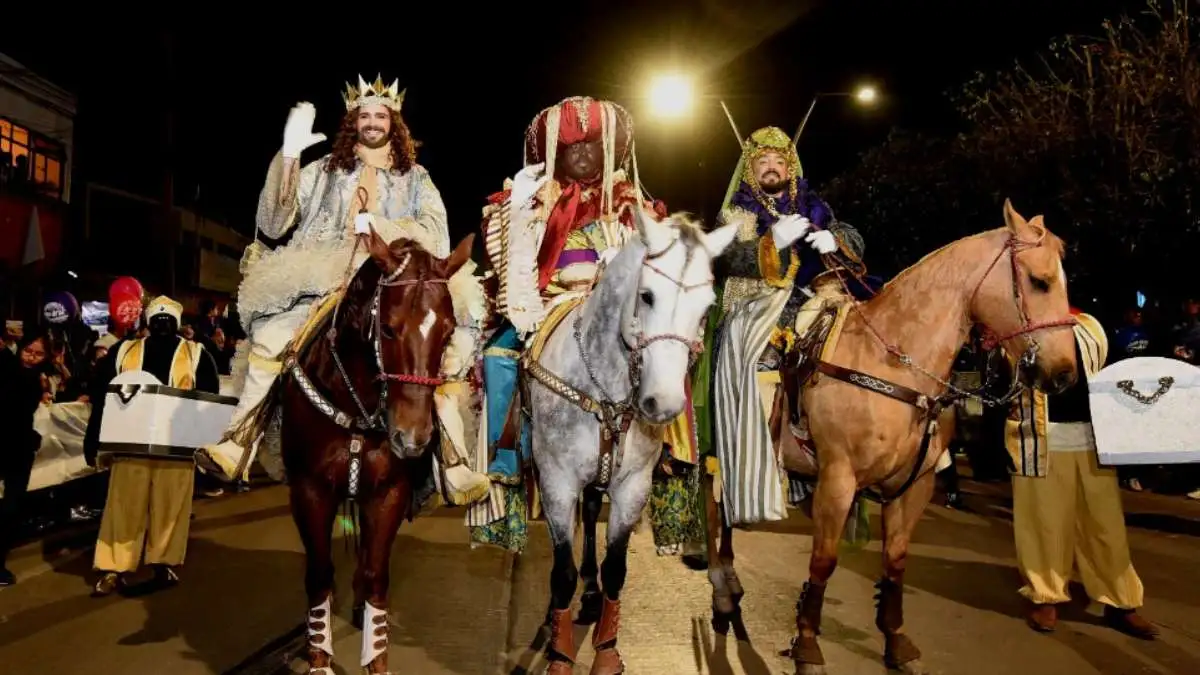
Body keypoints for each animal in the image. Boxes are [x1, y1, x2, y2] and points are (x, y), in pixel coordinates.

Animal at [277, 229, 472, 672]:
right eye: (387, 329)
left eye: (448, 332)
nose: (412, 439)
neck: (355, 408)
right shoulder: (310, 491)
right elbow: (319, 575)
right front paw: (319, 657)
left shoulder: (387, 492)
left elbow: (376, 575)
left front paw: (376, 656)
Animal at [528, 211, 739, 672]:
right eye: (647, 296)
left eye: (707, 308)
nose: (663, 403)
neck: (604, 388)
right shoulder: (556, 482)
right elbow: (561, 573)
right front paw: (560, 653)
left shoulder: (632, 487)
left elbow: (616, 570)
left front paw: (607, 650)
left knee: (592, 512)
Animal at [700, 200, 1080, 672]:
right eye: (1039, 281)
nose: (1064, 375)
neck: (894, 365)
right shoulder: (838, 480)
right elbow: (823, 561)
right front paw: (806, 642)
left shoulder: (915, 485)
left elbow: (896, 562)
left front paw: (895, 638)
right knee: (713, 509)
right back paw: (721, 589)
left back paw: (731, 581)